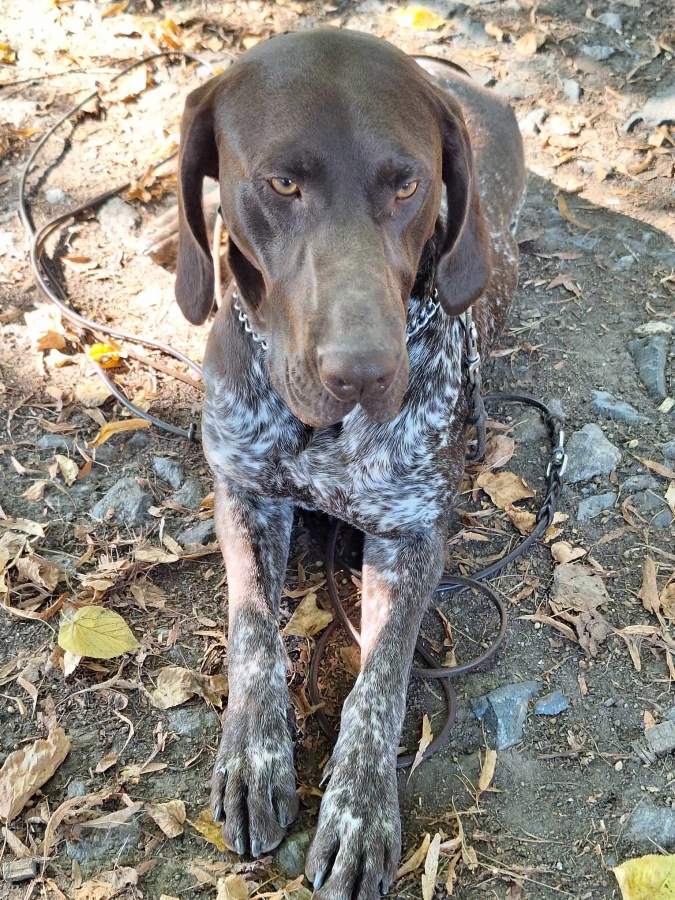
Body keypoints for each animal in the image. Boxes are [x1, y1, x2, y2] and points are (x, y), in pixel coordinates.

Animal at [174, 28, 525, 900]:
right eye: (282, 182)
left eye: (406, 185)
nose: (363, 373)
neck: (321, 434)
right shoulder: (242, 495)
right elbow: (251, 630)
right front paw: (254, 755)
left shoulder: (412, 538)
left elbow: (381, 679)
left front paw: (360, 809)